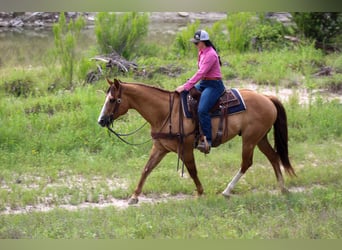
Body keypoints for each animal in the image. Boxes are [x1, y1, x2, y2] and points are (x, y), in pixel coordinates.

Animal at [97, 78, 296, 205]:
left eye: (112, 99)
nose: (101, 121)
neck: (166, 111)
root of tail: (267, 98)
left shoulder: (185, 148)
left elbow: (192, 171)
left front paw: (200, 193)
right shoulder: (160, 147)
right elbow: (146, 169)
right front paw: (134, 196)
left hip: (249, 139)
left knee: (246, 163)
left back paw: (227, 191)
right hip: (260, 138)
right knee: (273, 156)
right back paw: (282, 188)